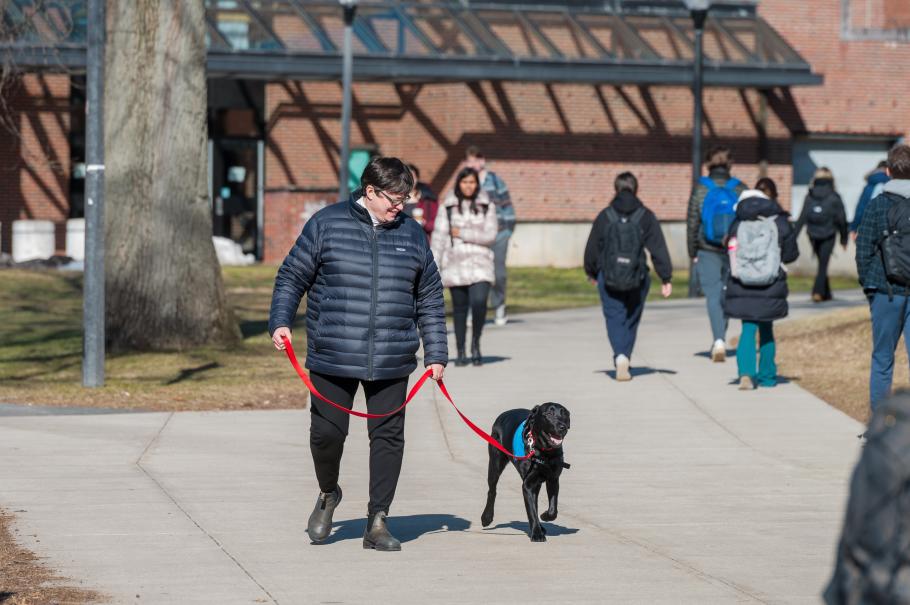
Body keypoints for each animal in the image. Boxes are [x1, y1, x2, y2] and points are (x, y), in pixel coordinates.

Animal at [484, 404, 568, 540]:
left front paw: (544, 516)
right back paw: (486, 517)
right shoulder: (528, 485)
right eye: (548, 414)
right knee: (492, 491)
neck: (545, 453)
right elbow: (531, 510)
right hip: (495, 464)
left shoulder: (553, 479)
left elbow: (552, 509)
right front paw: (537, 534)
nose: (562, 427)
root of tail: (503, 414)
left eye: (565, 414)